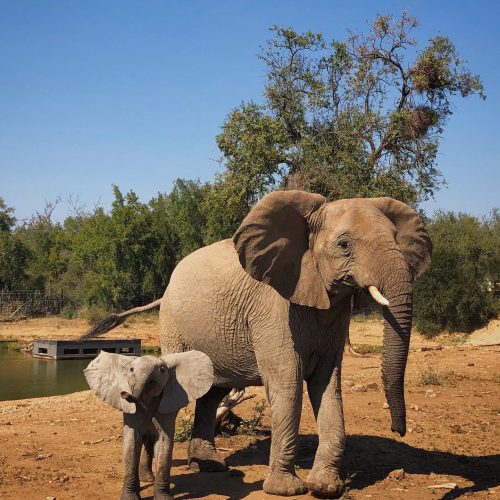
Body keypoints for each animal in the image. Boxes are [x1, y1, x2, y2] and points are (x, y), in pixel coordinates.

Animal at [84, 350, 213, 500]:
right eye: (131, 370)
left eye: (162, 370)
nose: (124, 393)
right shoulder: (131, 412)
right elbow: (131, 443)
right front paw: (129, 497)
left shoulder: (167, 406)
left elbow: (164, 443)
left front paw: (163, 498)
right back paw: (146, 480)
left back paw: (148, 479)